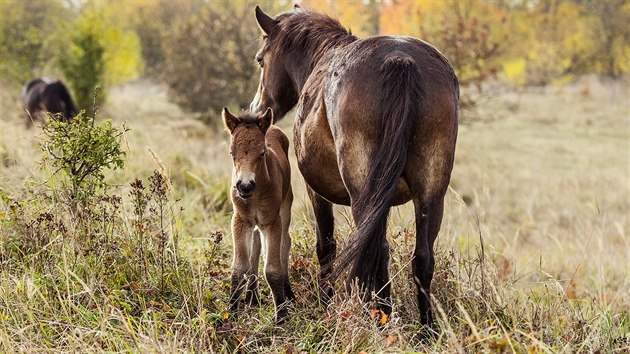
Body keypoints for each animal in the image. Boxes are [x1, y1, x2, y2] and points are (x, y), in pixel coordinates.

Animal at [249, 6, 462, 332]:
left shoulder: (316, 192)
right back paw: (426, 330)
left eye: (261, 59)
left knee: (376, 251)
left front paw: (325, 303)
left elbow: (325, 246)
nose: (256, 108)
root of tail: (400, 60)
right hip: (430, 195)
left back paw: (381, 319)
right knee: (421, 257)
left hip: (364, 194)